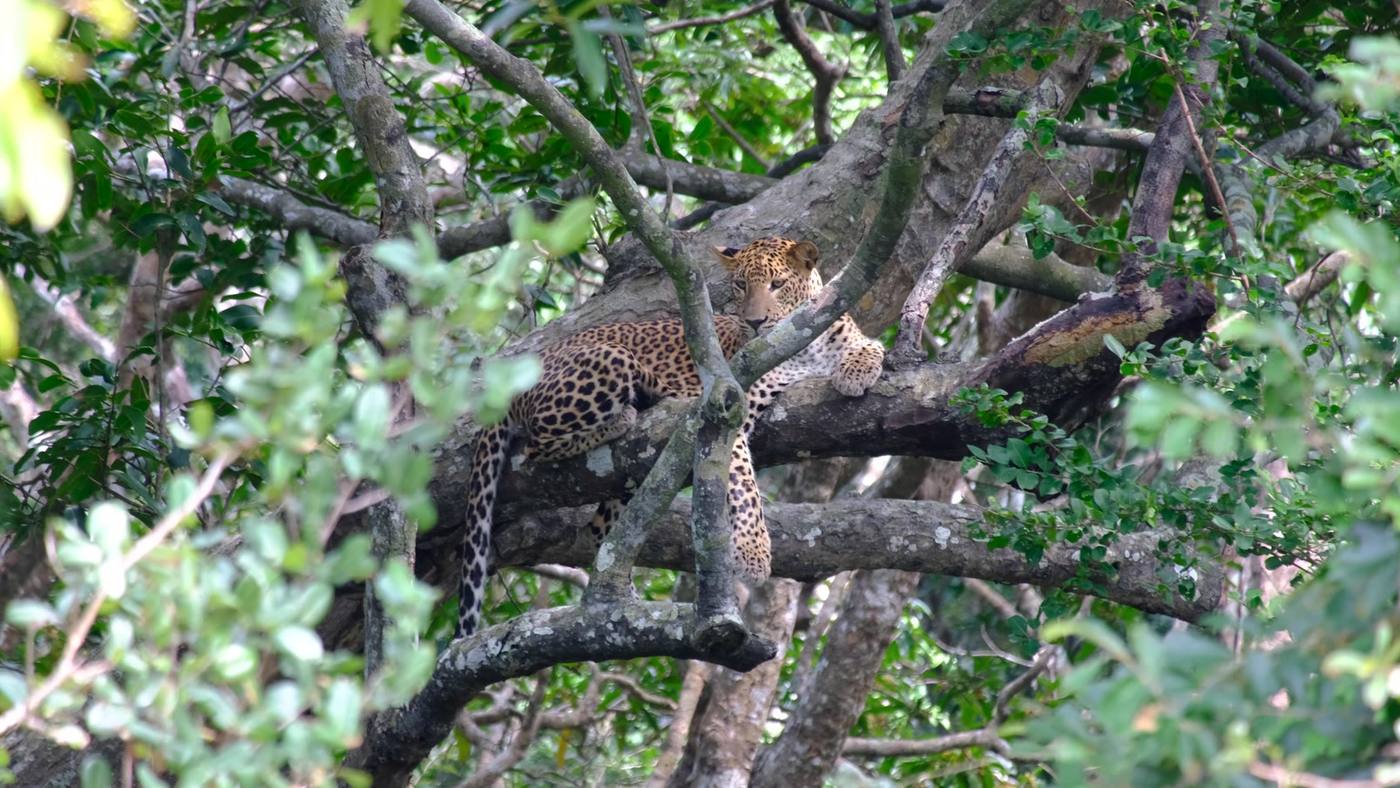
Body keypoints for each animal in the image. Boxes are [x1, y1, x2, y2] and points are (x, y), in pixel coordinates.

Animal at [456, 237, 886, 637]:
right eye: (741, 285)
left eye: (778, 284)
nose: (755, 322)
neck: (804, 348)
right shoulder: (725, 410)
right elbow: (745, 489)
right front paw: (753, 553)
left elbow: (871, 345)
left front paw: (856, 371)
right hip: (612, 359)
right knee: (537, 444)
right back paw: (624, 416)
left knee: (600, 528)